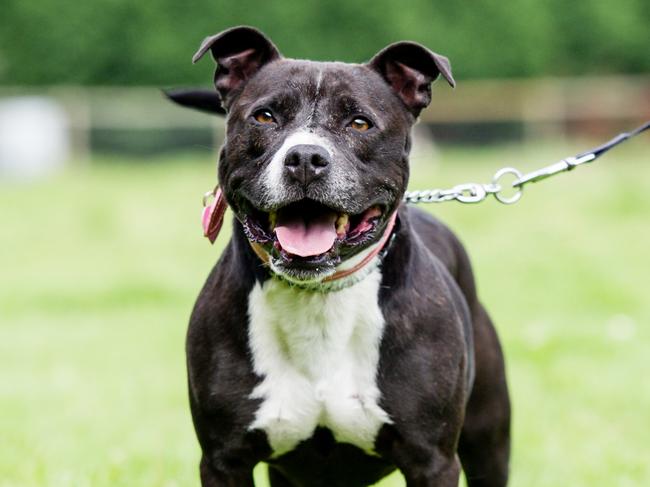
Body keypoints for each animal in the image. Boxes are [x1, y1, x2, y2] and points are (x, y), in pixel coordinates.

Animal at [168, 26, 512, 487]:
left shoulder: (433, 461)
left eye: (360, 123)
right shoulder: (225, 460)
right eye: (265, 117)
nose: (305, 158)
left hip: (488, 443)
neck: (317, 297)